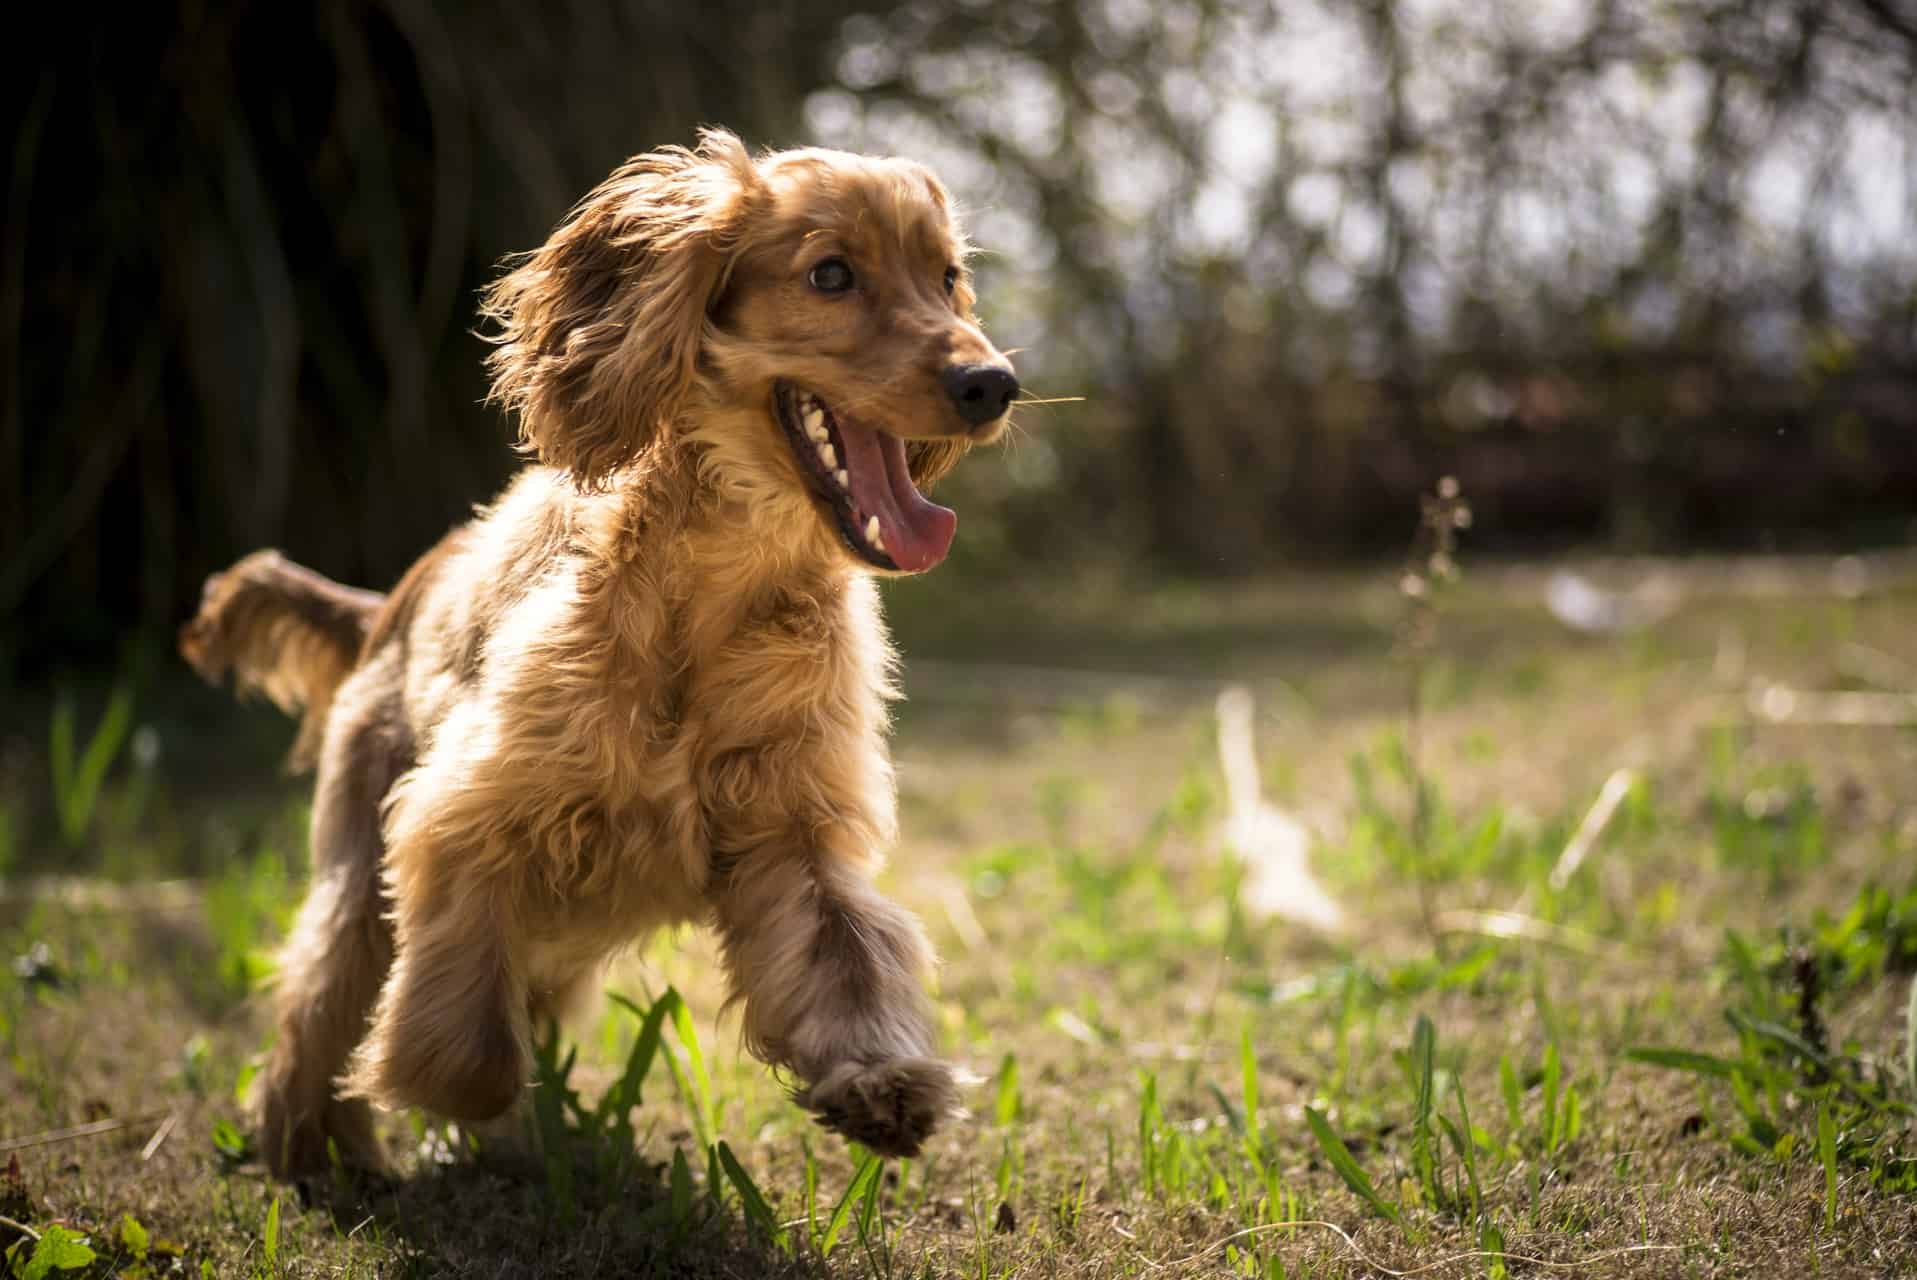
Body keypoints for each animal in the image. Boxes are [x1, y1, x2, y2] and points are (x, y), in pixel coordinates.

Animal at [180, 130, 1019, 1180]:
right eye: (830, 274)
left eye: (946, 277)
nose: (992, 385)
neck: (716, 595)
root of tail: (389, 602)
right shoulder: (464, 817)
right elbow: (461, 1024)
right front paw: (462, 1098)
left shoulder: (792, 831)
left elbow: (849, 956)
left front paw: (880, 1081)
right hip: (355, 875)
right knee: (318, 1002)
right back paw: (311, 1147)